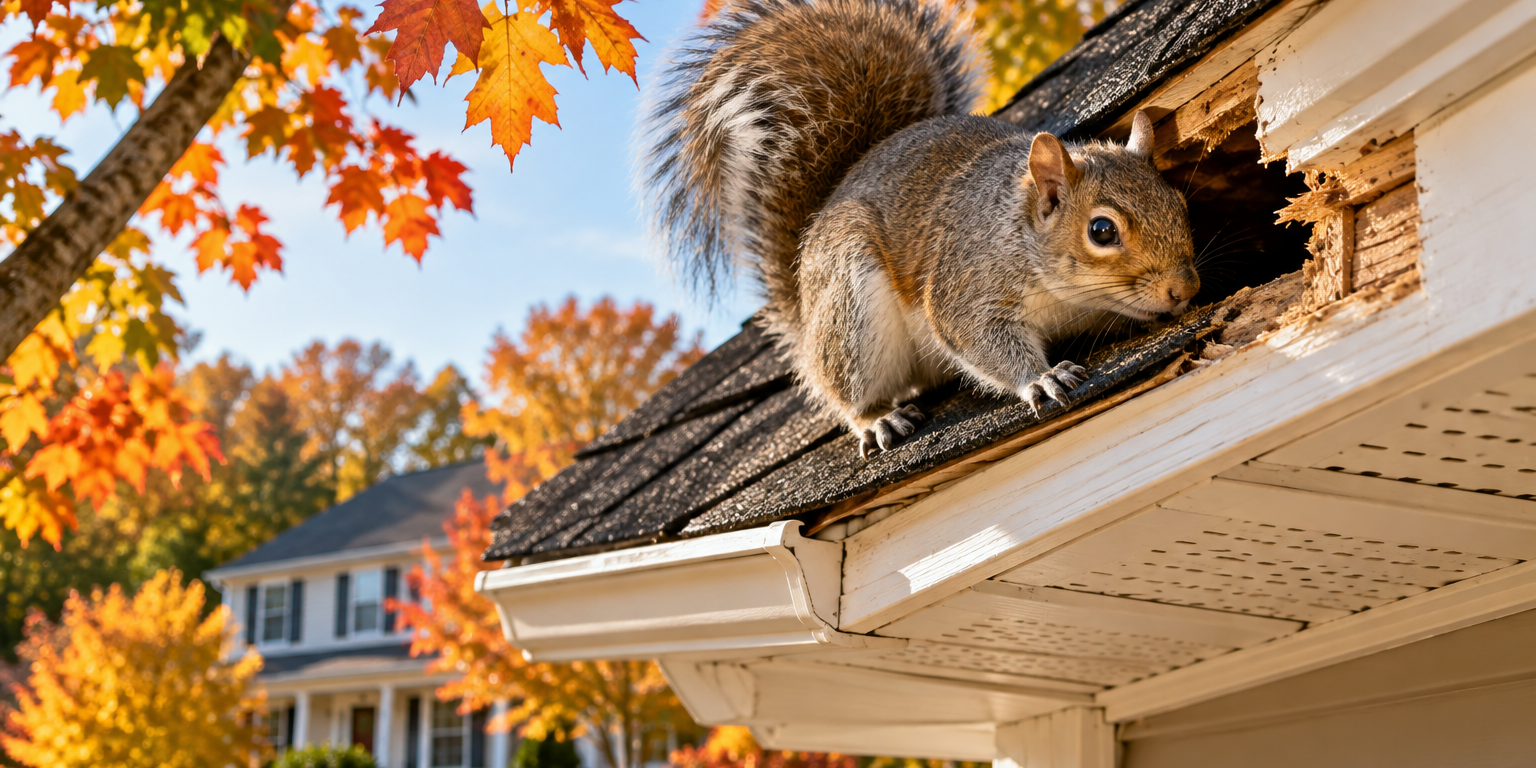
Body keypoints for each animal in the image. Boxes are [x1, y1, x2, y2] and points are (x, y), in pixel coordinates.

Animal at [642, 0, 1199, 458]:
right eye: (1102, 231)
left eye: (1179, 202)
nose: (1184, 288)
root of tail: (804, 305)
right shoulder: (967, 283)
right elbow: (978, 336)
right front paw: (1042, 379)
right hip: (851, 309)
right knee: (842, 390)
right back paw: (876, 420)